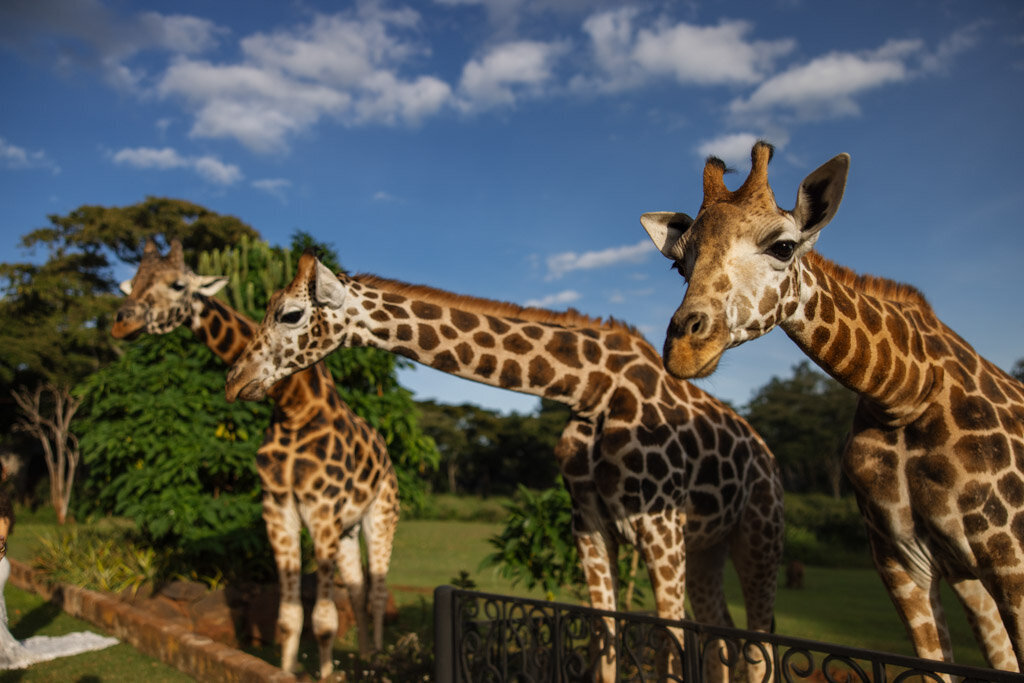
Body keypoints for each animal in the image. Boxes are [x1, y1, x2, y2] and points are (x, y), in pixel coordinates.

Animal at [111, 240, 399, 679]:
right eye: (132, 284)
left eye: (178, 285)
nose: (121, 323)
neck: (294, 408)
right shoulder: (278, 510)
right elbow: (289, 617)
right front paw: (287, 671)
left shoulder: (322, 511)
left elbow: (324, 620)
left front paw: (327, 674)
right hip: (348, 527)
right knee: (358, 588)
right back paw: (366, 654)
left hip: (381, 513)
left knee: (379, 591)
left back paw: (380, 657)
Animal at [226, 252, 782, 683]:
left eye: (290, 314)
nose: (235, 380)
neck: (590, 389)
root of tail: (768, 455)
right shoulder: (591, 523)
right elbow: (606, 636)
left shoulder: (658, 523)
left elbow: (668, 645)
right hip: (709, 545)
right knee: (723, 637)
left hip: (758, 534)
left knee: (760, 645)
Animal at [638, 140, 1024, 671]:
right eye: (681, 265)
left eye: (783, 247)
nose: (684, 348)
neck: (904, 393)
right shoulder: (902, 563)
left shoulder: (1010, 557)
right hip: (968, 577)